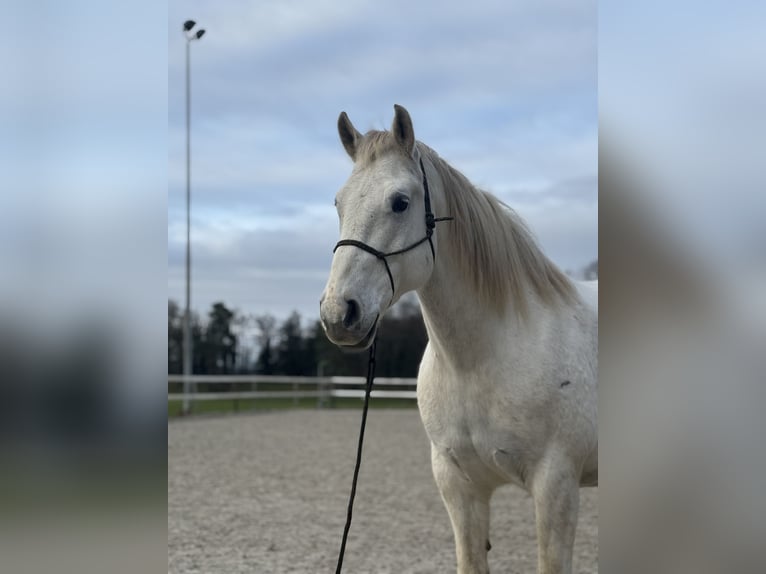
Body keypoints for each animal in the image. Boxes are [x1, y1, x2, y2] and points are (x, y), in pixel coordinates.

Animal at [320, 104, 596, 574]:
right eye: (339, 202)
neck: (483, 360)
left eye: (400, 202)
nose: (340, 314)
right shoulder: (459, 487)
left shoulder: (556, 487)